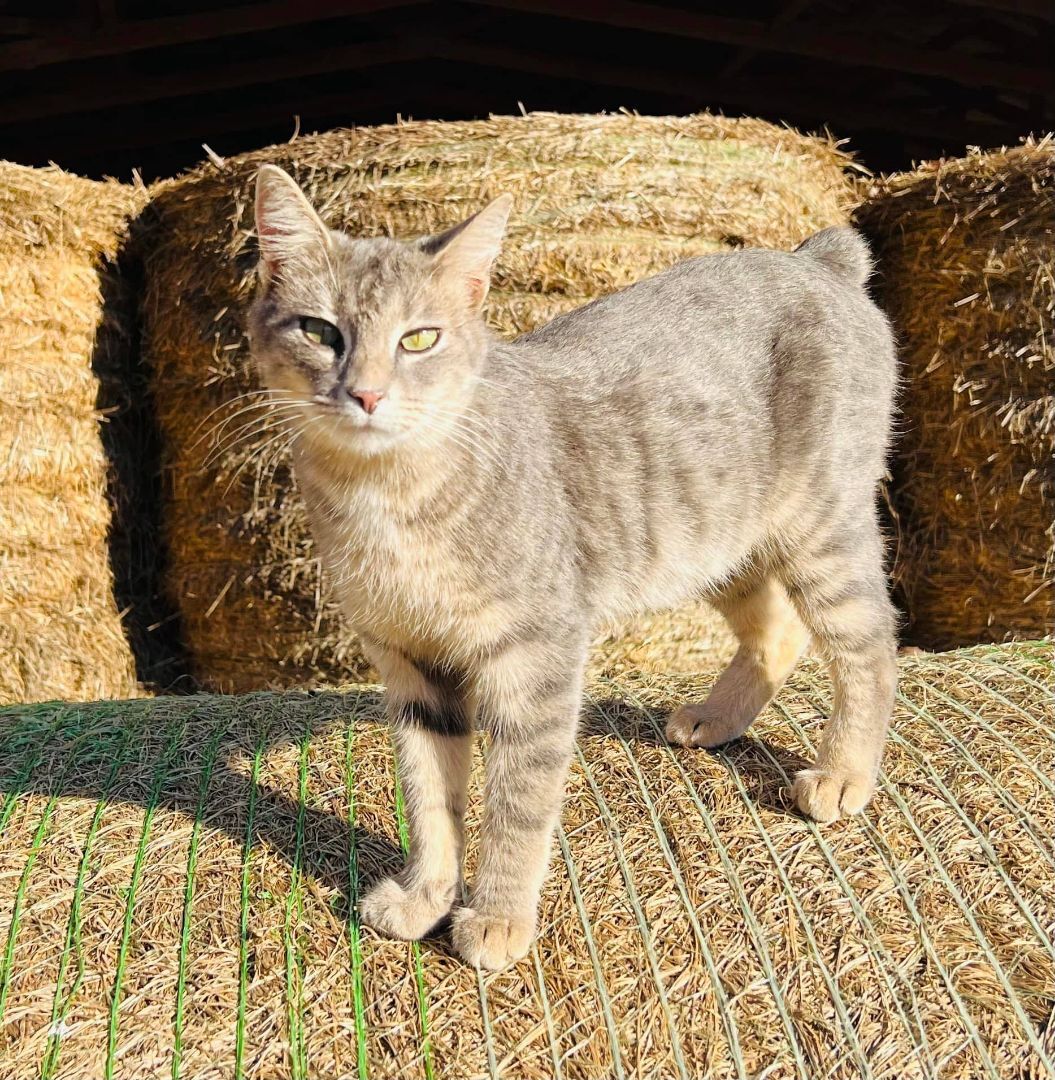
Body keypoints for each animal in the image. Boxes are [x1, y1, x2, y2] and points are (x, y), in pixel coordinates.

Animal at [249, 164, 898, 976]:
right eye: (320, 331)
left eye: (419, 338)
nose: (366, 394)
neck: (385, 495)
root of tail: (814, 258)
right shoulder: (408, 663)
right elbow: (430, 795)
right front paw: (427, 896)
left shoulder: (537, 654)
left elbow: (516, 802)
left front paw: (498, 917)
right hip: (715, 543)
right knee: (780, 631)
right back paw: (717, 718)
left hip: (822, 530)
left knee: (869, 645)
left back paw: (845, 774)